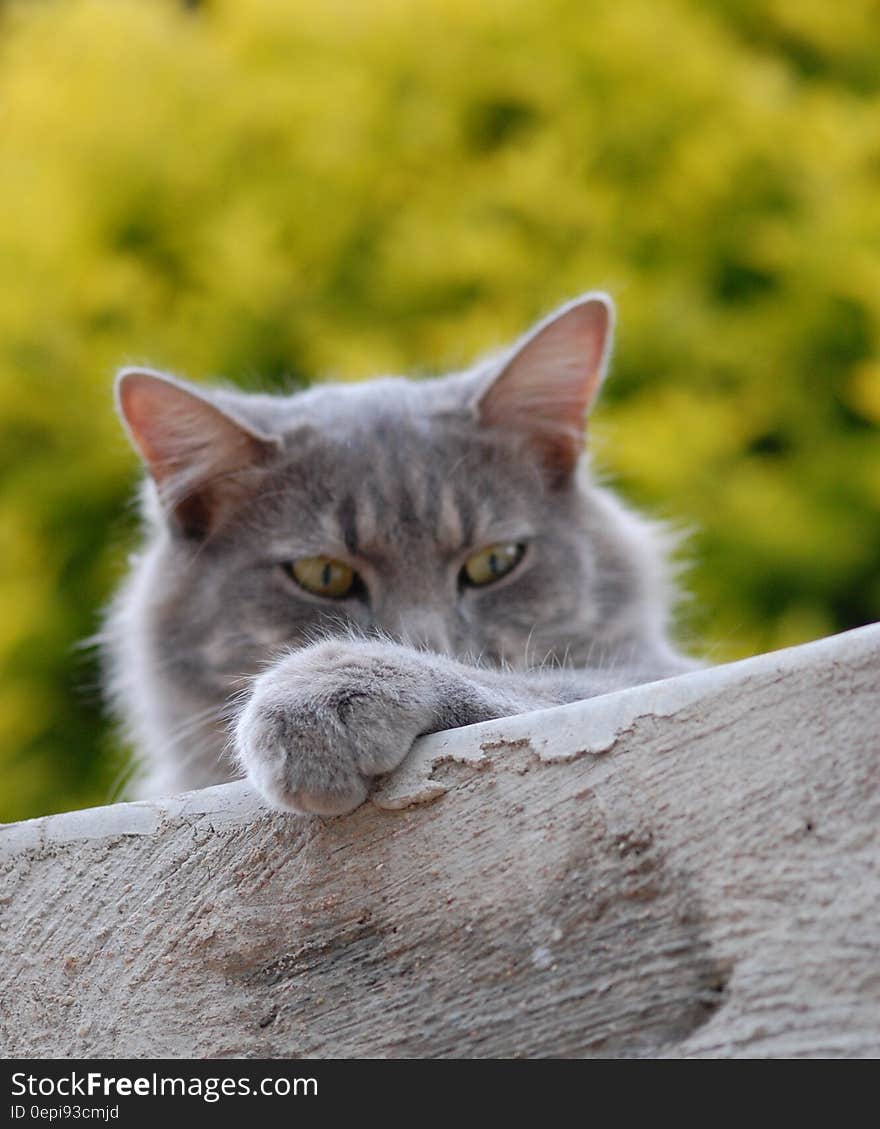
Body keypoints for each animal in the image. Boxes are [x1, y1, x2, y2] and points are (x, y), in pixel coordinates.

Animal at [103, 295, 695, 817]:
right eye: (324, 575)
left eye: (495, 562)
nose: (424, 643)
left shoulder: (650, 673)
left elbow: (545, 684)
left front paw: (330, 688)